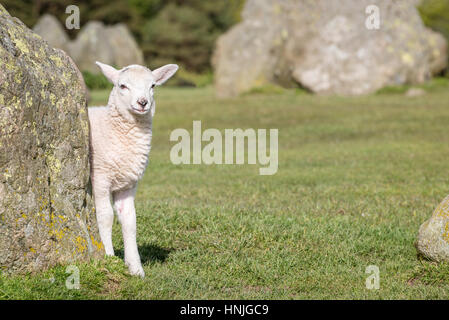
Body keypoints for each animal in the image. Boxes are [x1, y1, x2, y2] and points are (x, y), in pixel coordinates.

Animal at [87, 61, 178, 276]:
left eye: (153, 85)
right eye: (122, 86)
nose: (143, 102)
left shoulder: (128, 184)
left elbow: (129, 220)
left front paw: (135, 267)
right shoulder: (100, 176)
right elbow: (105, 216)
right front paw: (109, 255)